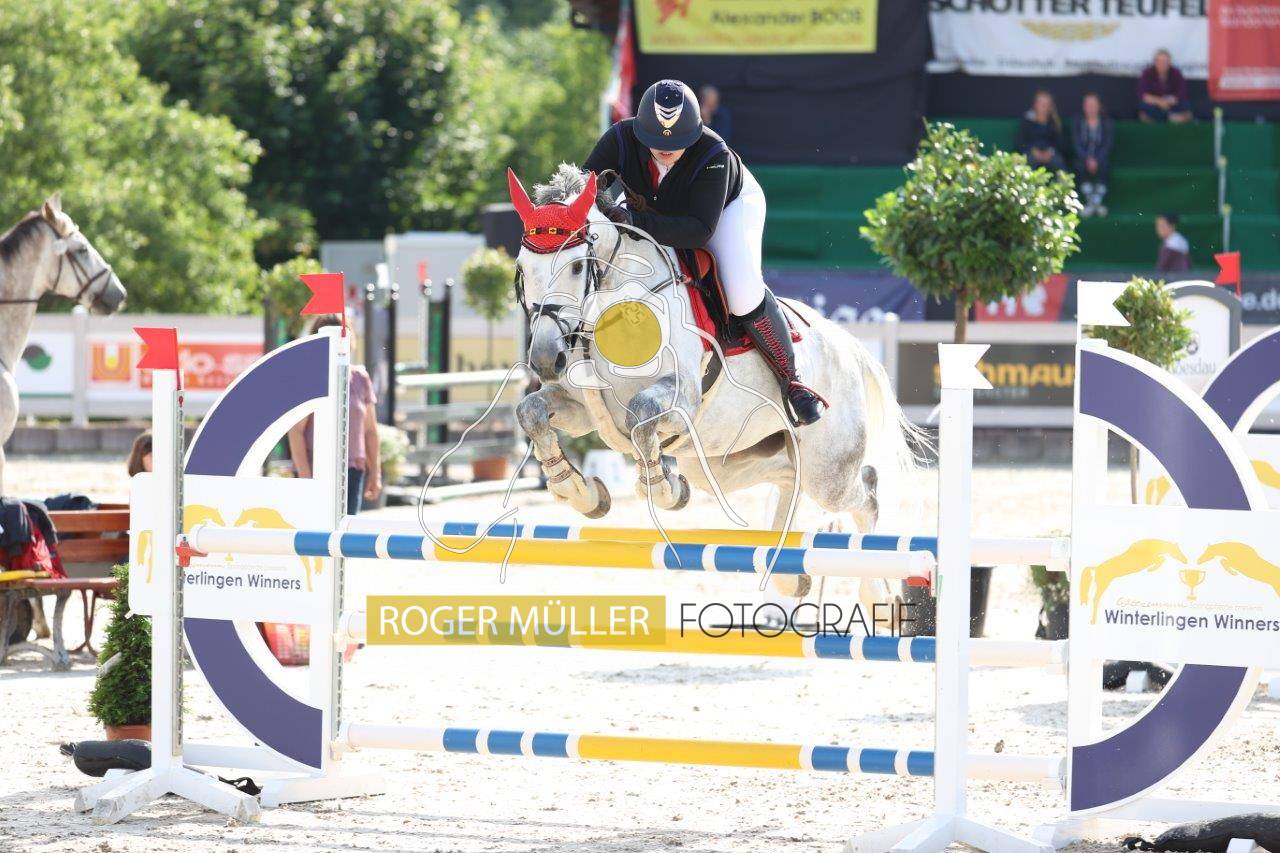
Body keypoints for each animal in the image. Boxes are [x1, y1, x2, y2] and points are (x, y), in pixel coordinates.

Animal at [509, 165, 921, 598]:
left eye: (575, 266)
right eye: (521, 268)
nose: (545, 358)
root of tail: (852, 349)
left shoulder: (680, 400)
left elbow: (641, 414)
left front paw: (664, 489)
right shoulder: (581, 407)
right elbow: (531, 411)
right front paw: (581, 492)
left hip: (828, 471)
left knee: (866, 494)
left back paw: (874, 591)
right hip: (730, 462)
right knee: (788, 478)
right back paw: (788, 575)